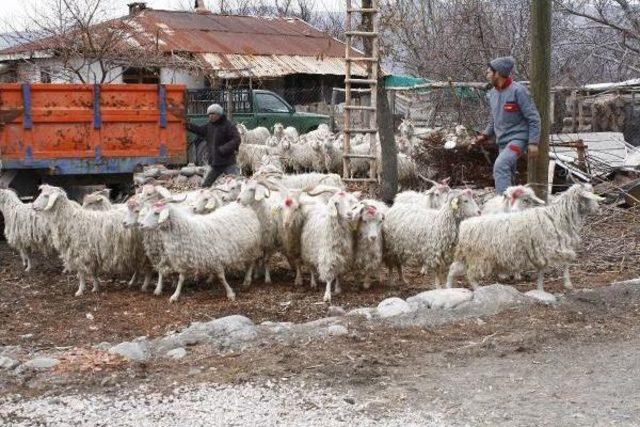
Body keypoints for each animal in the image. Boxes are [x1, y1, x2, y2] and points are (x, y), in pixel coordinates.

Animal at [448, 184, 604, 290]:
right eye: (590, 196)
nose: (598, 208)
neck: (558, 216)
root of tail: (464, 226)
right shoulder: (555, 247)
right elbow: (567, 261)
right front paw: (568, 283)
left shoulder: (542, 251)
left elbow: (543, 268)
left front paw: (540, 287)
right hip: (479, 257)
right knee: (470, 275)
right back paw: (478, 288)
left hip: (466, 255)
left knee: (453, 269)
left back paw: (449, 287)